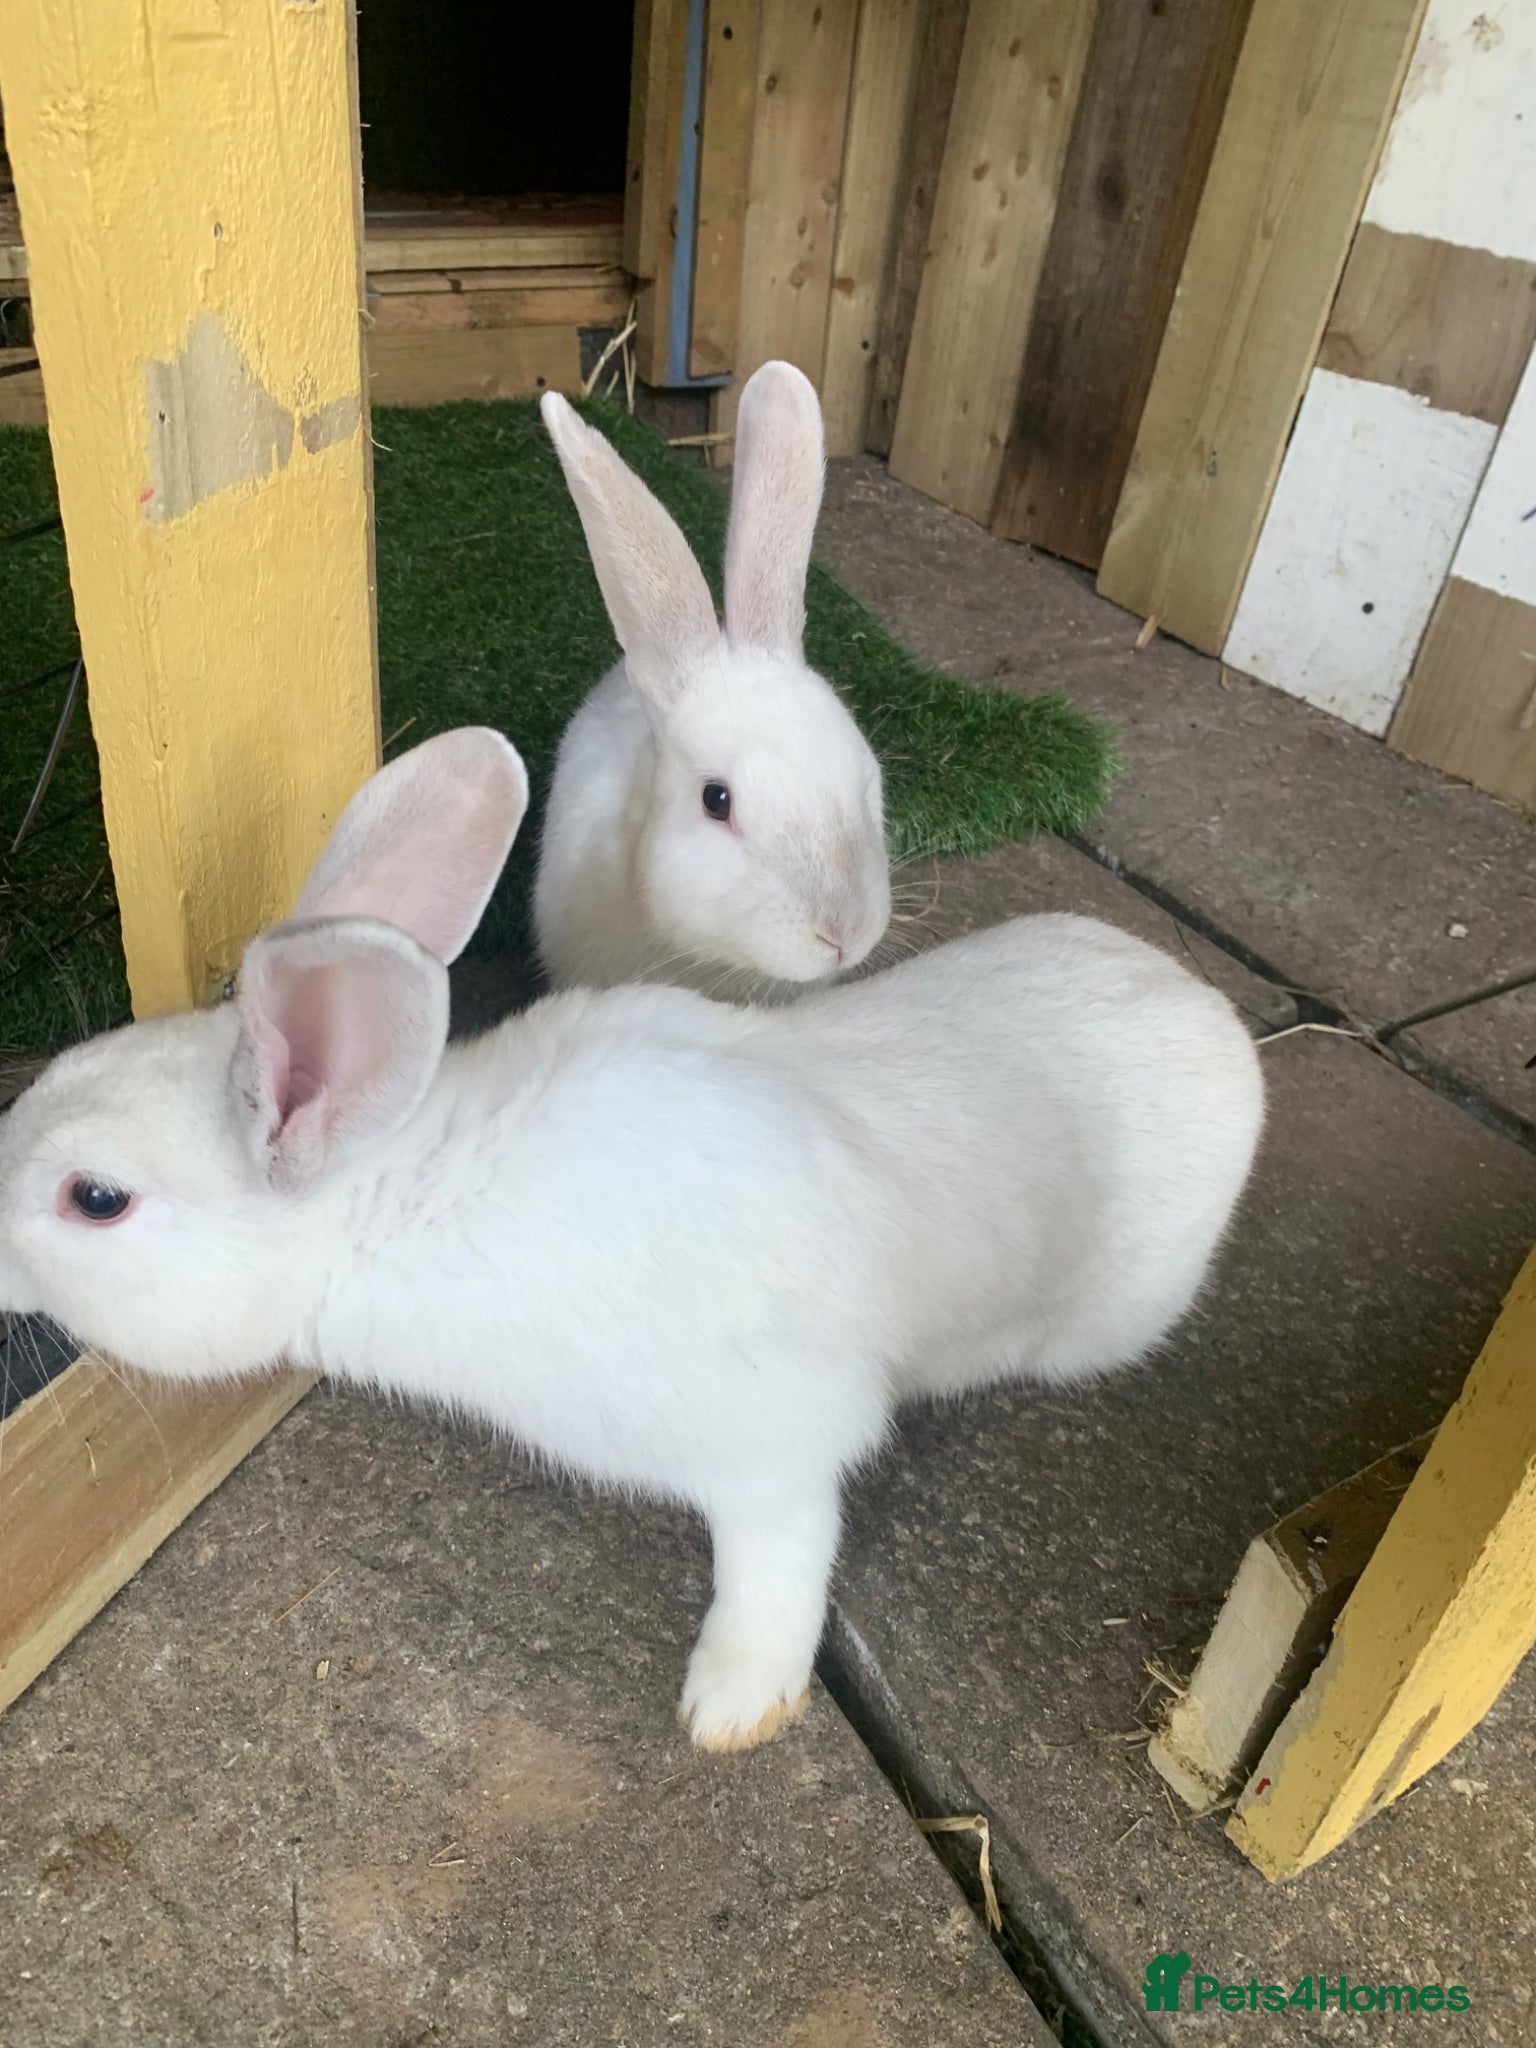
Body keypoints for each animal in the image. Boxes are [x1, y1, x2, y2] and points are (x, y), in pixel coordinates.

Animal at [0, 729, 1264, 1753]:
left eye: (96, 1197)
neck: (410, 1195)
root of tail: (1222, 1030)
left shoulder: (774, 1444)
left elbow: (778, 1562)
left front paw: (733, 1712)